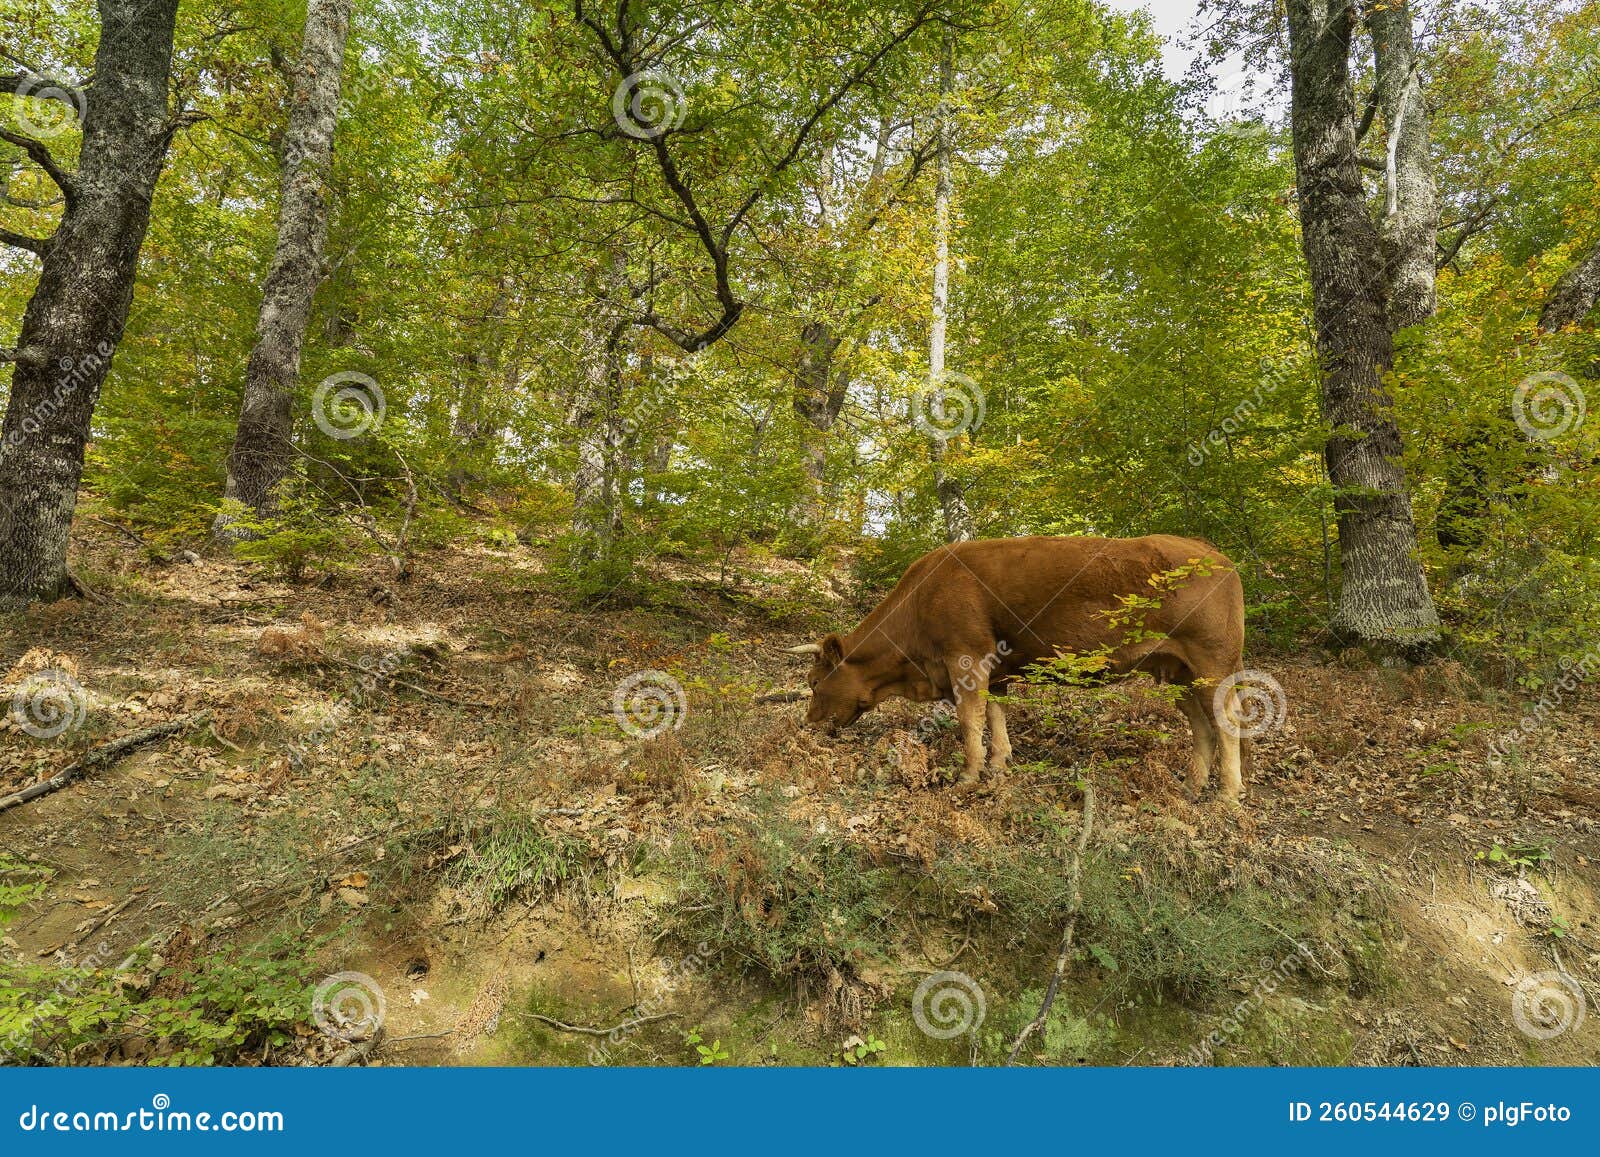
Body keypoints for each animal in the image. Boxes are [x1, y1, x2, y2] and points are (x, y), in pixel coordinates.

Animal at [787, 537, 1248, 800]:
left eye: (814, 681)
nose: (807, 724)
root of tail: (1216, 555)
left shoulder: (966, 657)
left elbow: (970, 719)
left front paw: (969, 775)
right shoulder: (996, 670)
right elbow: (995, 714)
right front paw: (998, 764)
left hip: (1213, 664)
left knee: (1226, 722)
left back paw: (1228, 793)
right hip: (1178, 673)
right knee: (1203, 726)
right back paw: (1192, 785)